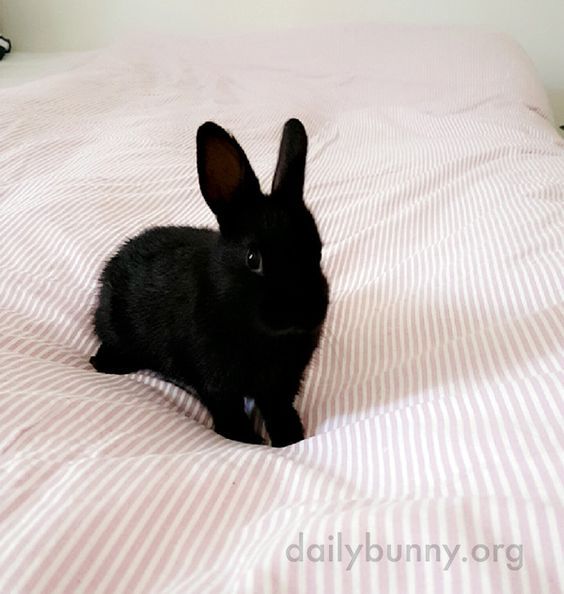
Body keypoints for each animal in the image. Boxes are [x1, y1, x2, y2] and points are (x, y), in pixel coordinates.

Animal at [91, 118, 330, 444]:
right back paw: (105, 364)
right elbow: (229, 410)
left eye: (317, 250)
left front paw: (291, 438)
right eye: (253, 259)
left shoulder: (281, 384)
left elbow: (279, 410)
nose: (307, 314)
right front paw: (246, 440)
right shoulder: (217, 381)